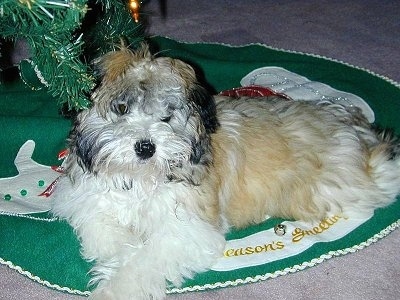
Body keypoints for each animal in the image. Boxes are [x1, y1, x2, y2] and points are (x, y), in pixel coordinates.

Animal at [50, 43, 400, 298]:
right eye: (122, 109)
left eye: (166, 117)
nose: (146, 147)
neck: (140, 178)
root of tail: (361, 135)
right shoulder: (88, 201)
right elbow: (108, 233)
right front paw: (119, 254)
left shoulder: (189, 230)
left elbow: (144, 260)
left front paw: (114, 287)